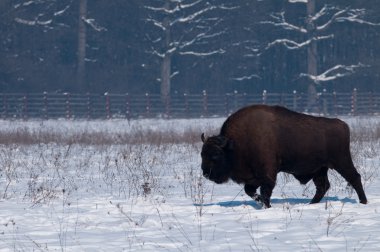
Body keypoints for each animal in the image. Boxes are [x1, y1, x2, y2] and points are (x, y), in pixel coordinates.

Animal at [200, 103, 366, 208]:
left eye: (215, 154)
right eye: (202, 154)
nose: (205, 173)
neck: (235, 144)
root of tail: (343, 125)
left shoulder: (267, 174)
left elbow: (265, 191)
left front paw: (266, 205)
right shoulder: (254, 178)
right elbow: (250, 191)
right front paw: (260, 201)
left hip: (341, 162)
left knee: (354, 178)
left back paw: (363, 202)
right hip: (319, 169)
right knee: (322, 186)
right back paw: (311, 204)